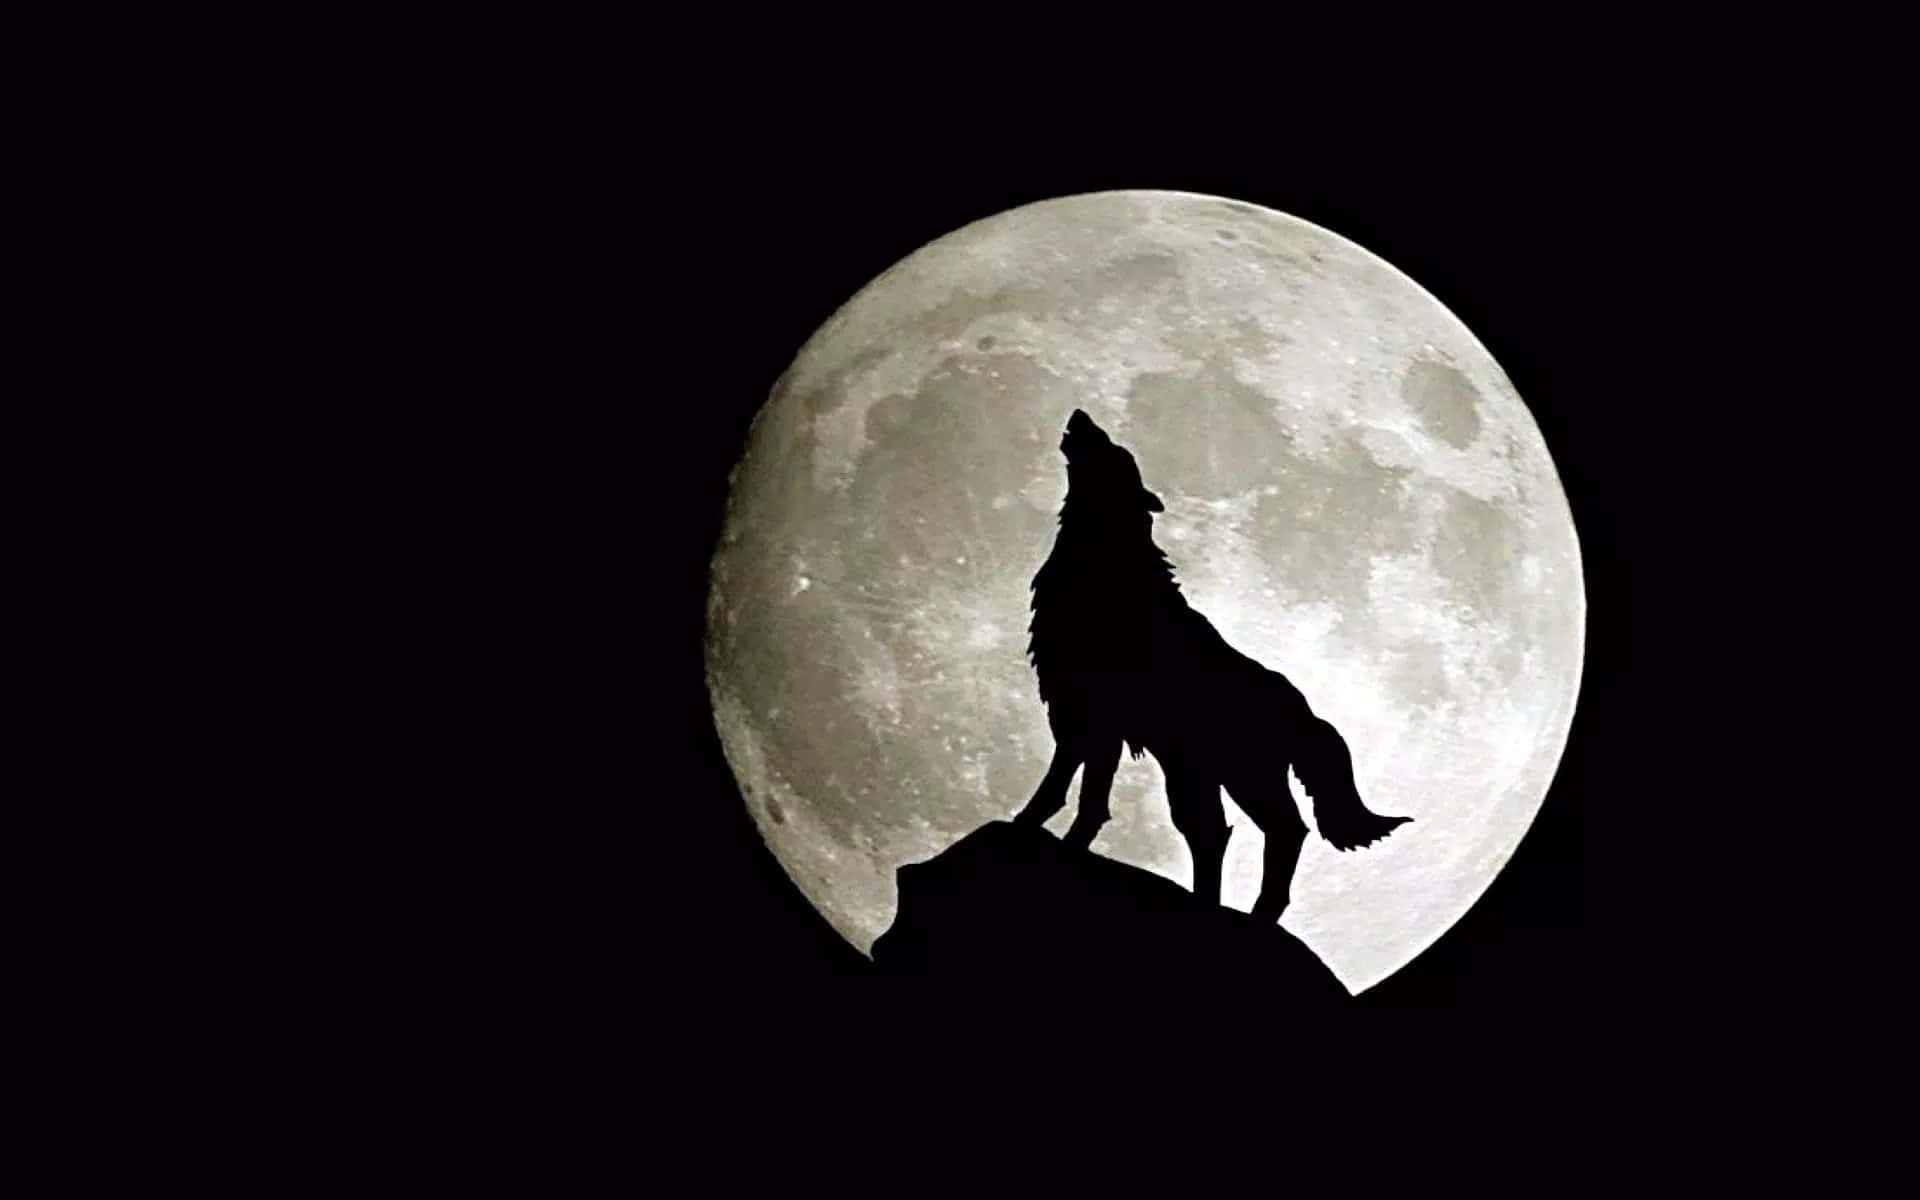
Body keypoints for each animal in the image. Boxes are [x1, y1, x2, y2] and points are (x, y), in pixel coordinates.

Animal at [1014, 409, 1411, 922]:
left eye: (1115, 451)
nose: (1081, 416)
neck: (1105, 560)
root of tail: (1303, 709)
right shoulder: (1081, 716)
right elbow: (1076, 790)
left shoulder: (1095, 717)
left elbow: (1076, 793)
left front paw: (1039, 834)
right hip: (1196, 773)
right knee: (1213, 833)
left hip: (1239, 776)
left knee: (1282, 830)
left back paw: (1256, 914)